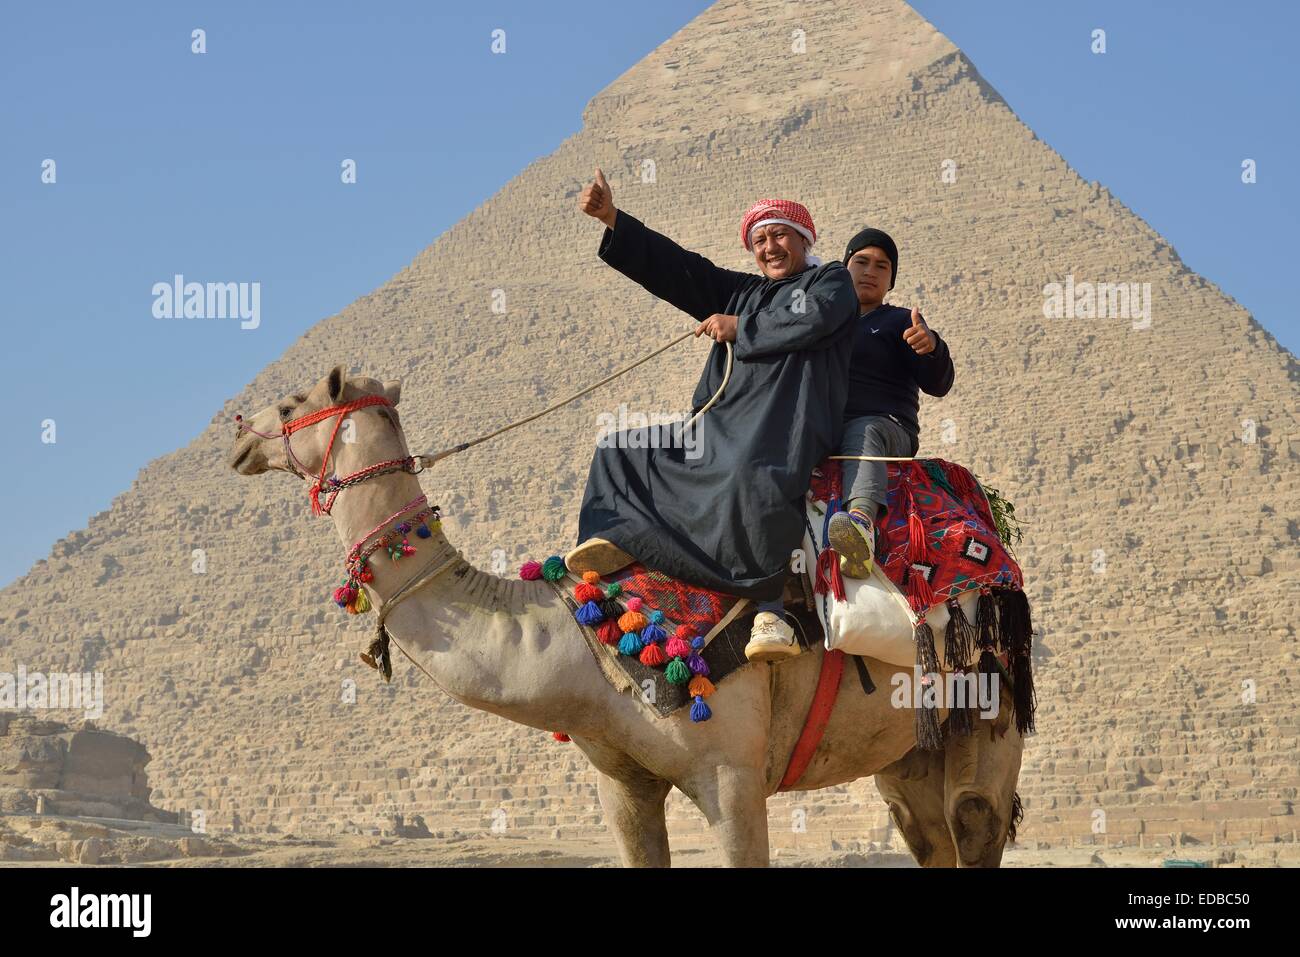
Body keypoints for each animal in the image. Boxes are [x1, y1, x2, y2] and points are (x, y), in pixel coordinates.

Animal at [231, 366, 1024, 868]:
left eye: (293, 401)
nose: (238, 431)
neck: (582, 633)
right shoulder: (622, 784)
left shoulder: (733, 773)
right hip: (906, 746)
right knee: (927, 834)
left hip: (989, 699)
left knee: (973, 816)